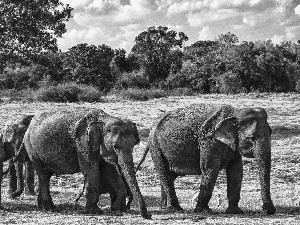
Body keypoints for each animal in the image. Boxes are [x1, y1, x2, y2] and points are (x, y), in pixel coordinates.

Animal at [21, 108, 150, 219]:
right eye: (115, 146)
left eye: (134, 144)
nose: (149, 216)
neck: (104, 120)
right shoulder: (83, 142)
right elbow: (90, 169)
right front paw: (95, 212)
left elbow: (109, 170)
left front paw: (117, 209)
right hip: (31, 148)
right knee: (43, 174)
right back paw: (50, 209)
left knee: (46, 176)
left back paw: (41, 207)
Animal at [136, 103, 276, 214]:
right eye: (251, 138)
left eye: (271, 133)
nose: (269, 210)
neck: (236, 112)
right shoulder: (209, 141)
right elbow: (210, 169)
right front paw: (204, 211)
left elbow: (236, 171)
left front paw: (235, 212)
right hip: (156, 147)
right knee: (164, 172)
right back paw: (176, 209)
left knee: (168, 175)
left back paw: (165, 208)